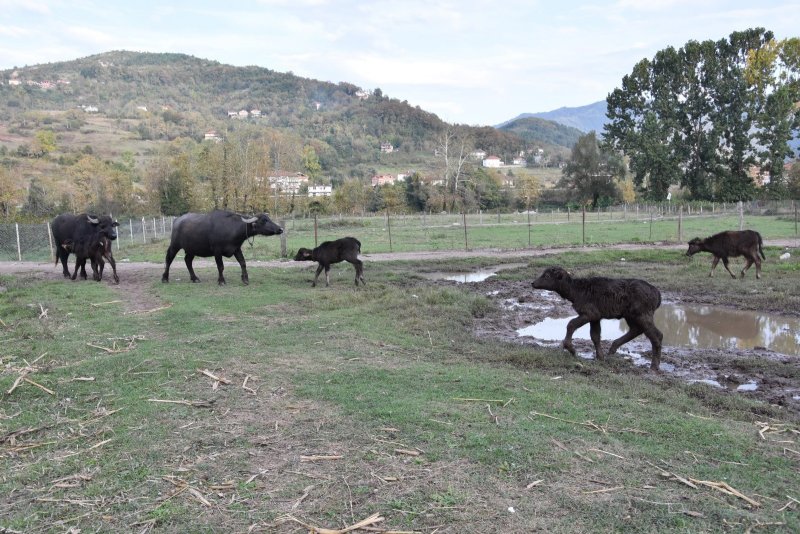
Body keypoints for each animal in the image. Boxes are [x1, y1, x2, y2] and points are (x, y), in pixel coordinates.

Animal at [532, 266, 664, 372]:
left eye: (547, 276)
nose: (533, 283)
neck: (577, 290)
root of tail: (657, 293)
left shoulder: (589, 313)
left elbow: (571, 324)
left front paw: (570, 348)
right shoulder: (596, 317)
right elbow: (595, 336)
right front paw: (600, 357)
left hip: (641, 314)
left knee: (656, 335)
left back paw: (654, 366)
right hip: (631, 315)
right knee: (636, 330)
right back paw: (613, 348)